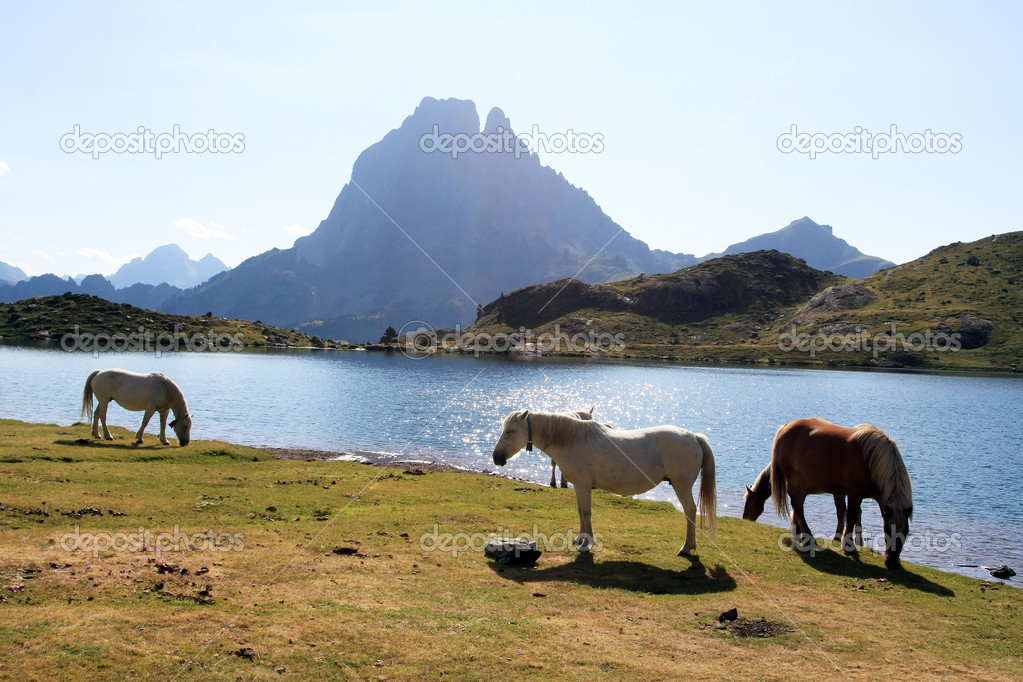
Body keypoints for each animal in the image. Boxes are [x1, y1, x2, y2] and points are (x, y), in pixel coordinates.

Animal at [491, 408, 716, 556]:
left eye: (510, 431)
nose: (496, 458)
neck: (572, 439)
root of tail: (694, 436)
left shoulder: (583, 485)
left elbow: (586, 512)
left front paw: (586, 543)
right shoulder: (578, 486)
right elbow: (580, 511)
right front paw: (579, 539)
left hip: (682, 486)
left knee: (690, 510)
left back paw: (686, 548)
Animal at [752, 417, 912, 572]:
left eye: (906, 532)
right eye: (887, 531)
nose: (892, 563)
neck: (871, 459)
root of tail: (785, 427)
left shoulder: (878, 498)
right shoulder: (855, 494)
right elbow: (851, 517)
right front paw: (849, 547)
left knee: (798, 506)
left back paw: (800, 535)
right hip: (796, 482)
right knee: (798, 506)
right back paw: (808, 538)